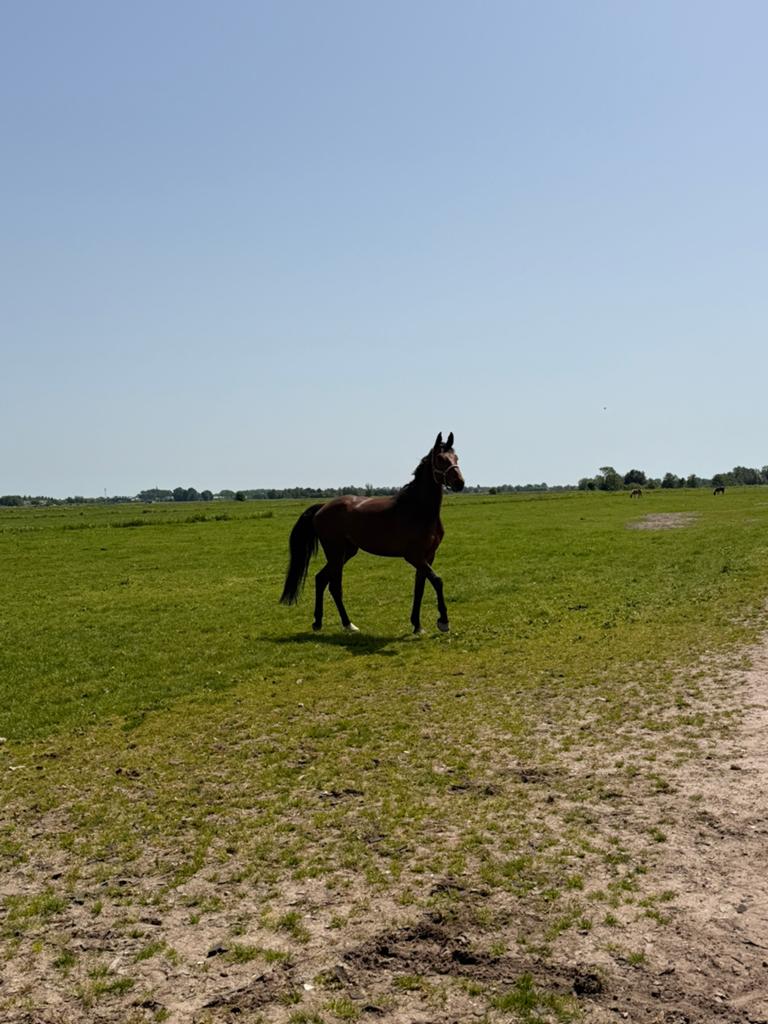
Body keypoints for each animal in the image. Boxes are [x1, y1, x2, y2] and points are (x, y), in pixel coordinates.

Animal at [280, 433, 464, 634]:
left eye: (456, 458)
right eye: (440, 459)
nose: (460, 483)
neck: (418, 509)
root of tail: (323, 507)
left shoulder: (428, 556)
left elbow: (420, 587)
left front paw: (417, 625)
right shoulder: (414, 557)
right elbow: (437, 581)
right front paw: (443, 622)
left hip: (346, 552)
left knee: (321, 579)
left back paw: (321, 622)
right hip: (335, 553)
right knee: (334, 586)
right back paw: (347, 624)